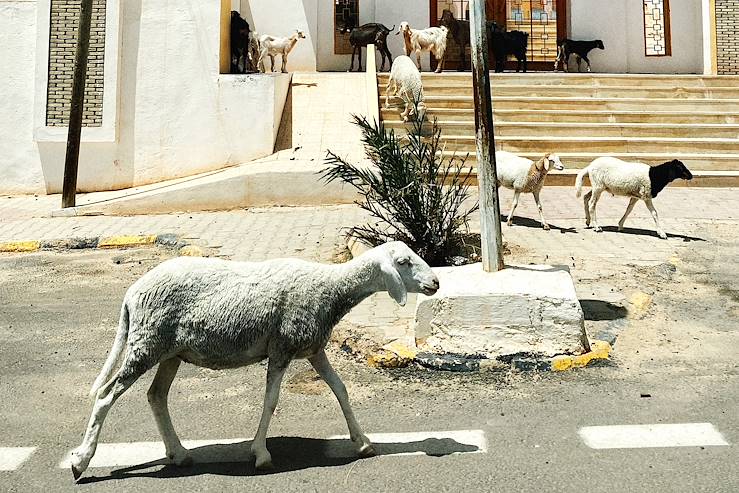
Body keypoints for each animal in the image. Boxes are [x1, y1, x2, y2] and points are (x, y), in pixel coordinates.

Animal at [68, 240, 440, 478]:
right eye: (404, 262)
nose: (436, 282)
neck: (331, 289)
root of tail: (131, 294)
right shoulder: (282, 349)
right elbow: (271, 401)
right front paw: (260, 454)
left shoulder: (313, 349)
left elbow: (341, 390)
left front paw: (362, 442)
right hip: (146, 344)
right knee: (106, 396)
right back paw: (82, 460)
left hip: (169, 352)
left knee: (156, 395)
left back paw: (180, 454)